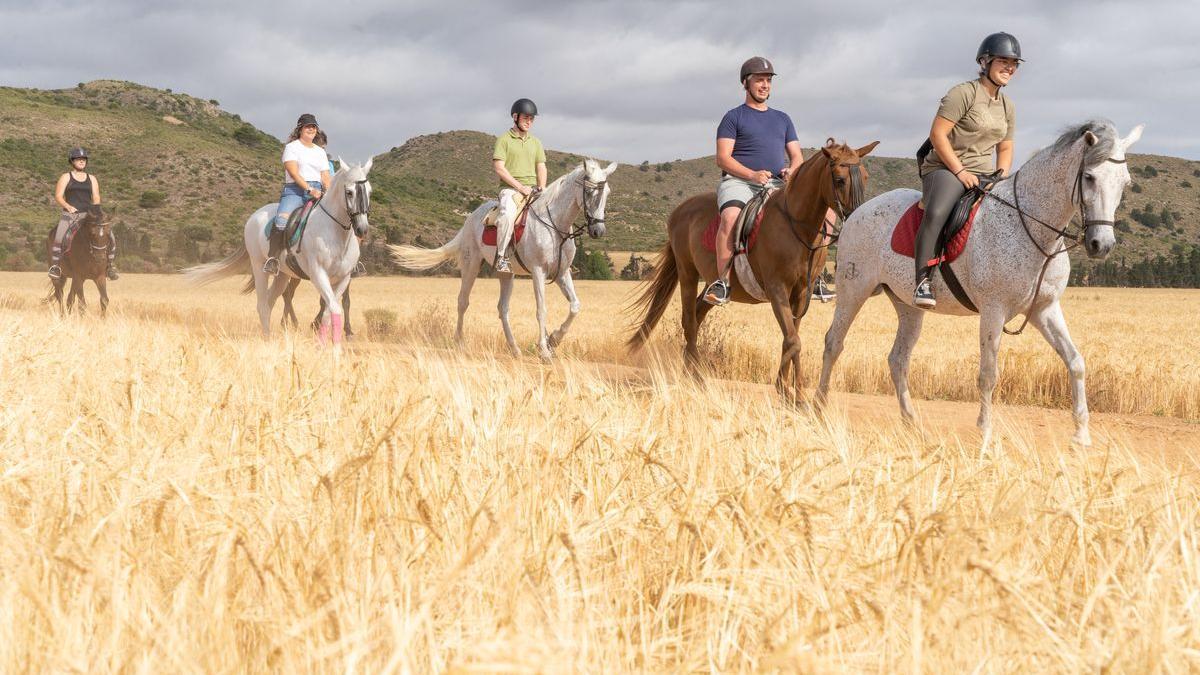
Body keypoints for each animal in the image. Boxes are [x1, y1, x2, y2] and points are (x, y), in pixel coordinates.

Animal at [391, 157, 619, 360]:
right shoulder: (538, 271)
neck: (555, 225)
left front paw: (554, 340)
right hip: (471, 265)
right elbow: (541, 310)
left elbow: (575, 306)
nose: (598, 231)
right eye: (589, 191)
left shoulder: (562, 273)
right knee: (463, 302)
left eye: (607, 192)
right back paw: (460, 343)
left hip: (506, 275)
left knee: (503, 308)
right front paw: (544, 351)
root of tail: (470, 218)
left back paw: (514, 349)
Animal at [628, 139, 883, 396]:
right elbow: (793, 340)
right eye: (839, 179)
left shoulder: (802, 293)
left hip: (708, 284)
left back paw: (689, 373)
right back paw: (696, 379)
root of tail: (679, 211)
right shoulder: (777, 288)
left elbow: (791, 337)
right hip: (687, 272)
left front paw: (786, 389)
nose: (859, 218)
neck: (797, 227)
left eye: (865, 176)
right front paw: (797, 395)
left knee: (697, 315)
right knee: (689, 321)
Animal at [816, 120, 1142, 446]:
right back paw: (819, 407)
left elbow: (1075, 362)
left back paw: (911, 422)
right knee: (833, 343)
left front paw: (1082, 434)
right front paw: (985, 432)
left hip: (909, 307)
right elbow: (988, 374)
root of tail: (858, 211)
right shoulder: (993, 311)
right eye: (1089, 177)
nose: (1102, 245)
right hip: (853, 291)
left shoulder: (1045, 309)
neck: (1032, 225)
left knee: (898, 359)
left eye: (1125, 183)